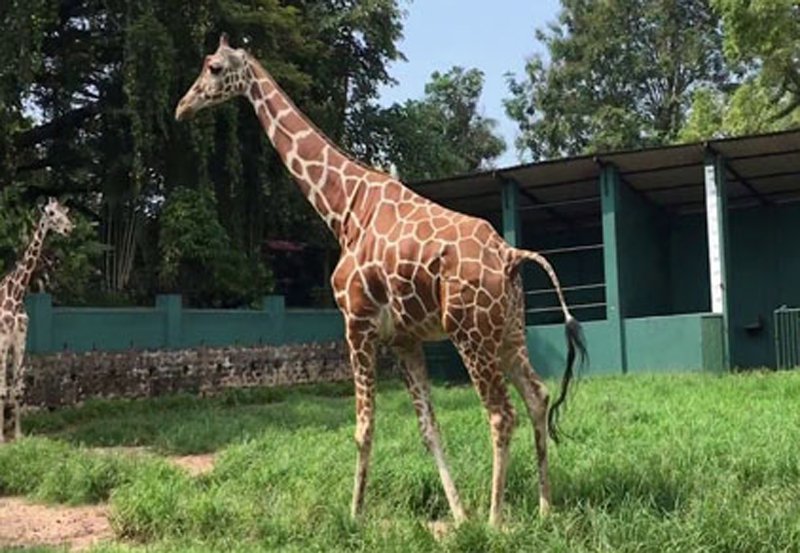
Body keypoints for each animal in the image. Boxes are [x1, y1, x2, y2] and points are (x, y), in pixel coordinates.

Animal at [0, 198, 74, 442]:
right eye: (50, 213)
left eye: (64, 212)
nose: (69, 228)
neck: (17, 294)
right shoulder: (3, 340)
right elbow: (3, 390)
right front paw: (2, 438)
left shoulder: (20, 341)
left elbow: (16, 390)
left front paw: (18, 435)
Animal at [176, 35, 586, 526]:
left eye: (214, 68)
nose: (182, 107)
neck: (345, 209)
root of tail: (510, 255)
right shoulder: (403, 338)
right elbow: (428, 428)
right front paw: (458, 516)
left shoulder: (357, 324)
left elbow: (363, 427)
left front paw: (354, 515)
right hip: (508, 331)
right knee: (538, 397)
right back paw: (544, 508)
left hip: (471, 334)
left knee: (501, 414)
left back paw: (496, 521)